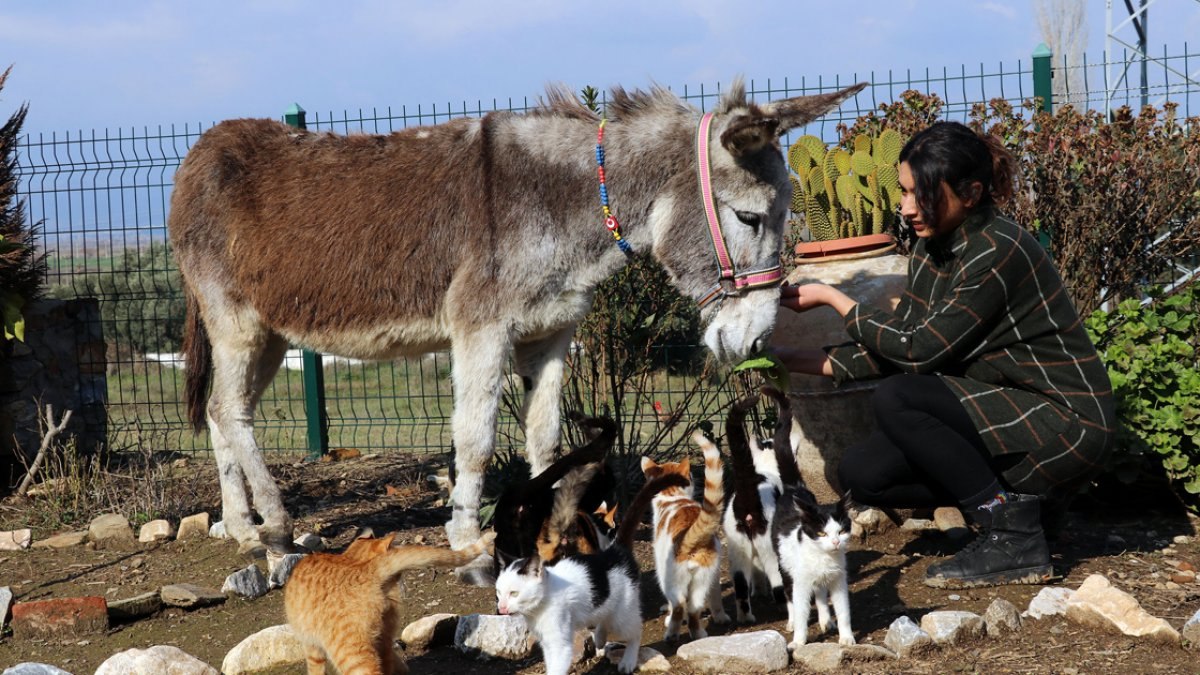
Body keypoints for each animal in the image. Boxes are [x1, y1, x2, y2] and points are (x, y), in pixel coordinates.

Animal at [285, 530, 492, 672]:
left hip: (349, 652)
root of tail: (367, 568)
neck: (350, 558)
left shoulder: (311, 647)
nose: (400, 577)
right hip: (381, 639)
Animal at [492, 470, 691, 672]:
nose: (501, 608)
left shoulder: (559, 645)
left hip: (622, 616)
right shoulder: (547, 642)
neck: (539, 606)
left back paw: (628, 661)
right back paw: (601, 638)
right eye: (499, 592)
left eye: (514, 593)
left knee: (635, 632)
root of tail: (615, 550)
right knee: (603, 617)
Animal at [638, 429, 729, 634]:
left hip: (668, 577)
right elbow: (716, 599)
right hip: (705, 574)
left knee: (679, 603)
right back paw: (700, 632)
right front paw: (720, 617)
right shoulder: (715, 574)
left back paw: (672, 629)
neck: (673, 496)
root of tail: (691, 538)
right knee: (695, 606)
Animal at [720, 391, 787, 624]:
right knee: (778, 583)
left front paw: (759, 591)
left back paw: (746, 617)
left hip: (737, 548)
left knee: (740, 586)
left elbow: (756, 573)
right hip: (770, 548)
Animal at [763, 389, 859, 648]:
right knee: (790, 595)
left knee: (821, 594)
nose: (835, 542)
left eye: (841, 531)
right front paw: (798, 641)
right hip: (785, 565)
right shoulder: (801, 581)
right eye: (822, 533)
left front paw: (846, 637)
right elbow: (801, 609)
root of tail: (794, 488)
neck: (823, 558)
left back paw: (826, 620)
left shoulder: (838, 580)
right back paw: (791, 621)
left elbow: (843, 610)